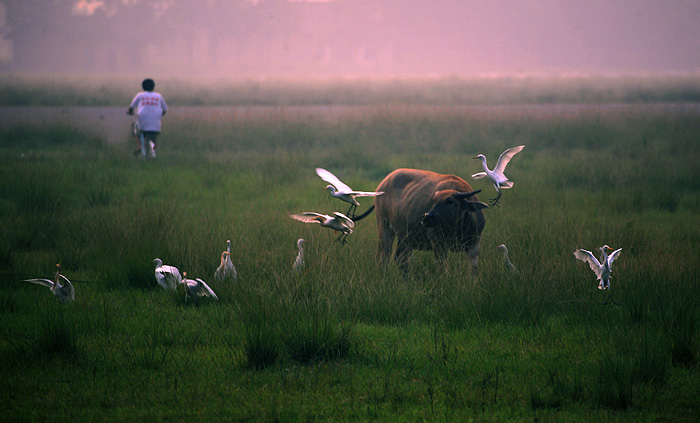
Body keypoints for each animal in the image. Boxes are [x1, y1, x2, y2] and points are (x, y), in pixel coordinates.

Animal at [356, 169, 486, 274]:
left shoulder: (474, 244)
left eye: (450, 201)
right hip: (384, 227)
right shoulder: (438, 244)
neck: (458, 228)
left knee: (401, 259)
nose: (427, 217)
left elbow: (473, 270)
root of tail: (382, 185)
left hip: (405, 237)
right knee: (383, 257)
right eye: (434, 200)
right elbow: (443, 269)